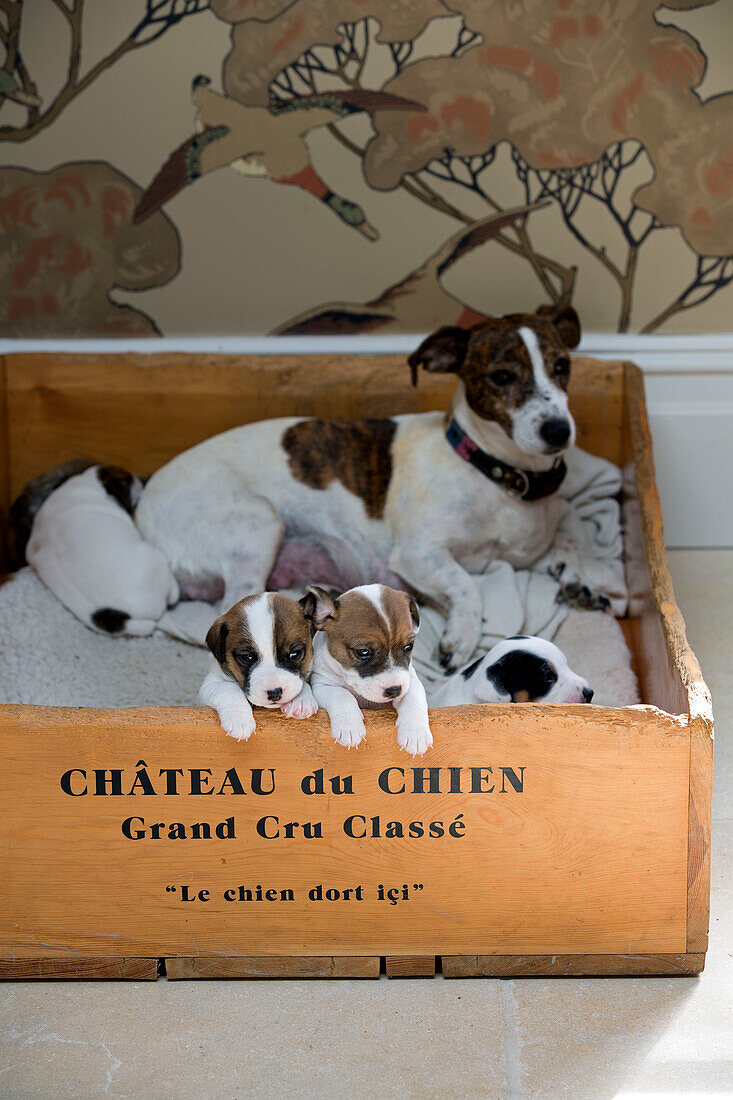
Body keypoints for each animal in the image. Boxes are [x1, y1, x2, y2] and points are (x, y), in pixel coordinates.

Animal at [24, 464, 178, 638]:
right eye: (128, 478)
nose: (140, 481)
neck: (89, 481)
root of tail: (119, 615)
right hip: (155, 559)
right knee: (173, 592)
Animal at [135, 303, 598, 668]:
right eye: (501, 377)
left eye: (563, 366)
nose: (559, 431)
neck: (497, 476)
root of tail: (142, 519)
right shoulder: (418, 553)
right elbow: (466, 582)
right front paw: (462, 636)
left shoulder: (532, 541)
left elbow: (571, 534)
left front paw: (578, 574)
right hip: (256, 526)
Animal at [198, 594, 314, 739]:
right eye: (247, 657)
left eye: (294, 654)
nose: (275, 693)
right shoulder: (208, 685)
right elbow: (228, 688)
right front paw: (239, 718)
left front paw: (301, 700)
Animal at [299, 585, 431, 756]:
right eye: (363, 652)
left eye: (408, 646)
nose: (395, 690)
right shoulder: (323, 684)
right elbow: (342, 694)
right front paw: (349, 726)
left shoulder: (409, 679)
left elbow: (414, 696)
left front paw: (416, 733)